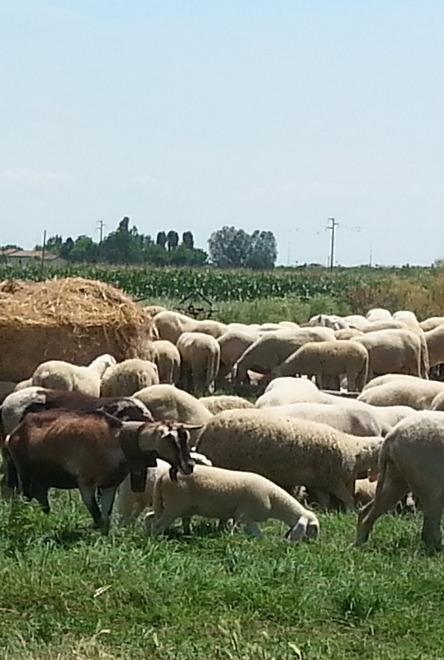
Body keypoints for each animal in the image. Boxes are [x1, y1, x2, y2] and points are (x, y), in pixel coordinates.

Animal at [5, 410, 195, 533]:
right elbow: (97, 515)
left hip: (42, 478)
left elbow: (105, 517)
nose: (190, 465)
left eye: (186, 438)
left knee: (40, 497)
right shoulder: (86, 483)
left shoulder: (110, 484)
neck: (116, 439)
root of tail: (14, 433)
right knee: (23, 497)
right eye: (172, 441)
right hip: (24, 472)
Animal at [146, 465, 320, 542]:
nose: (312, 544)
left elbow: (227, 525)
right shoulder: (246, 515)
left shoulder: (234, 515)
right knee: (159, 525)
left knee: (150, 517)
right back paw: (158, 540)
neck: (274, 499)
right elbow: (256, 533)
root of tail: (162, 477)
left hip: (170, 505)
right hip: (175, 505)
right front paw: (262, 542)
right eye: (313, 529)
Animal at [197, 409, 383, 510]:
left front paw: (324, 511)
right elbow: (347, 498)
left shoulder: (321, 482)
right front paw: (352, 510)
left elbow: (325, 500)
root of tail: (206, 429)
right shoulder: (332, 480)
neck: (353, 448)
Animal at [356, 412, 444, 551]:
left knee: (368, 510)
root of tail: (391, 436)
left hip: (397, 474)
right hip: (426, 476)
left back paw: (359, 545)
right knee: (429, 526)